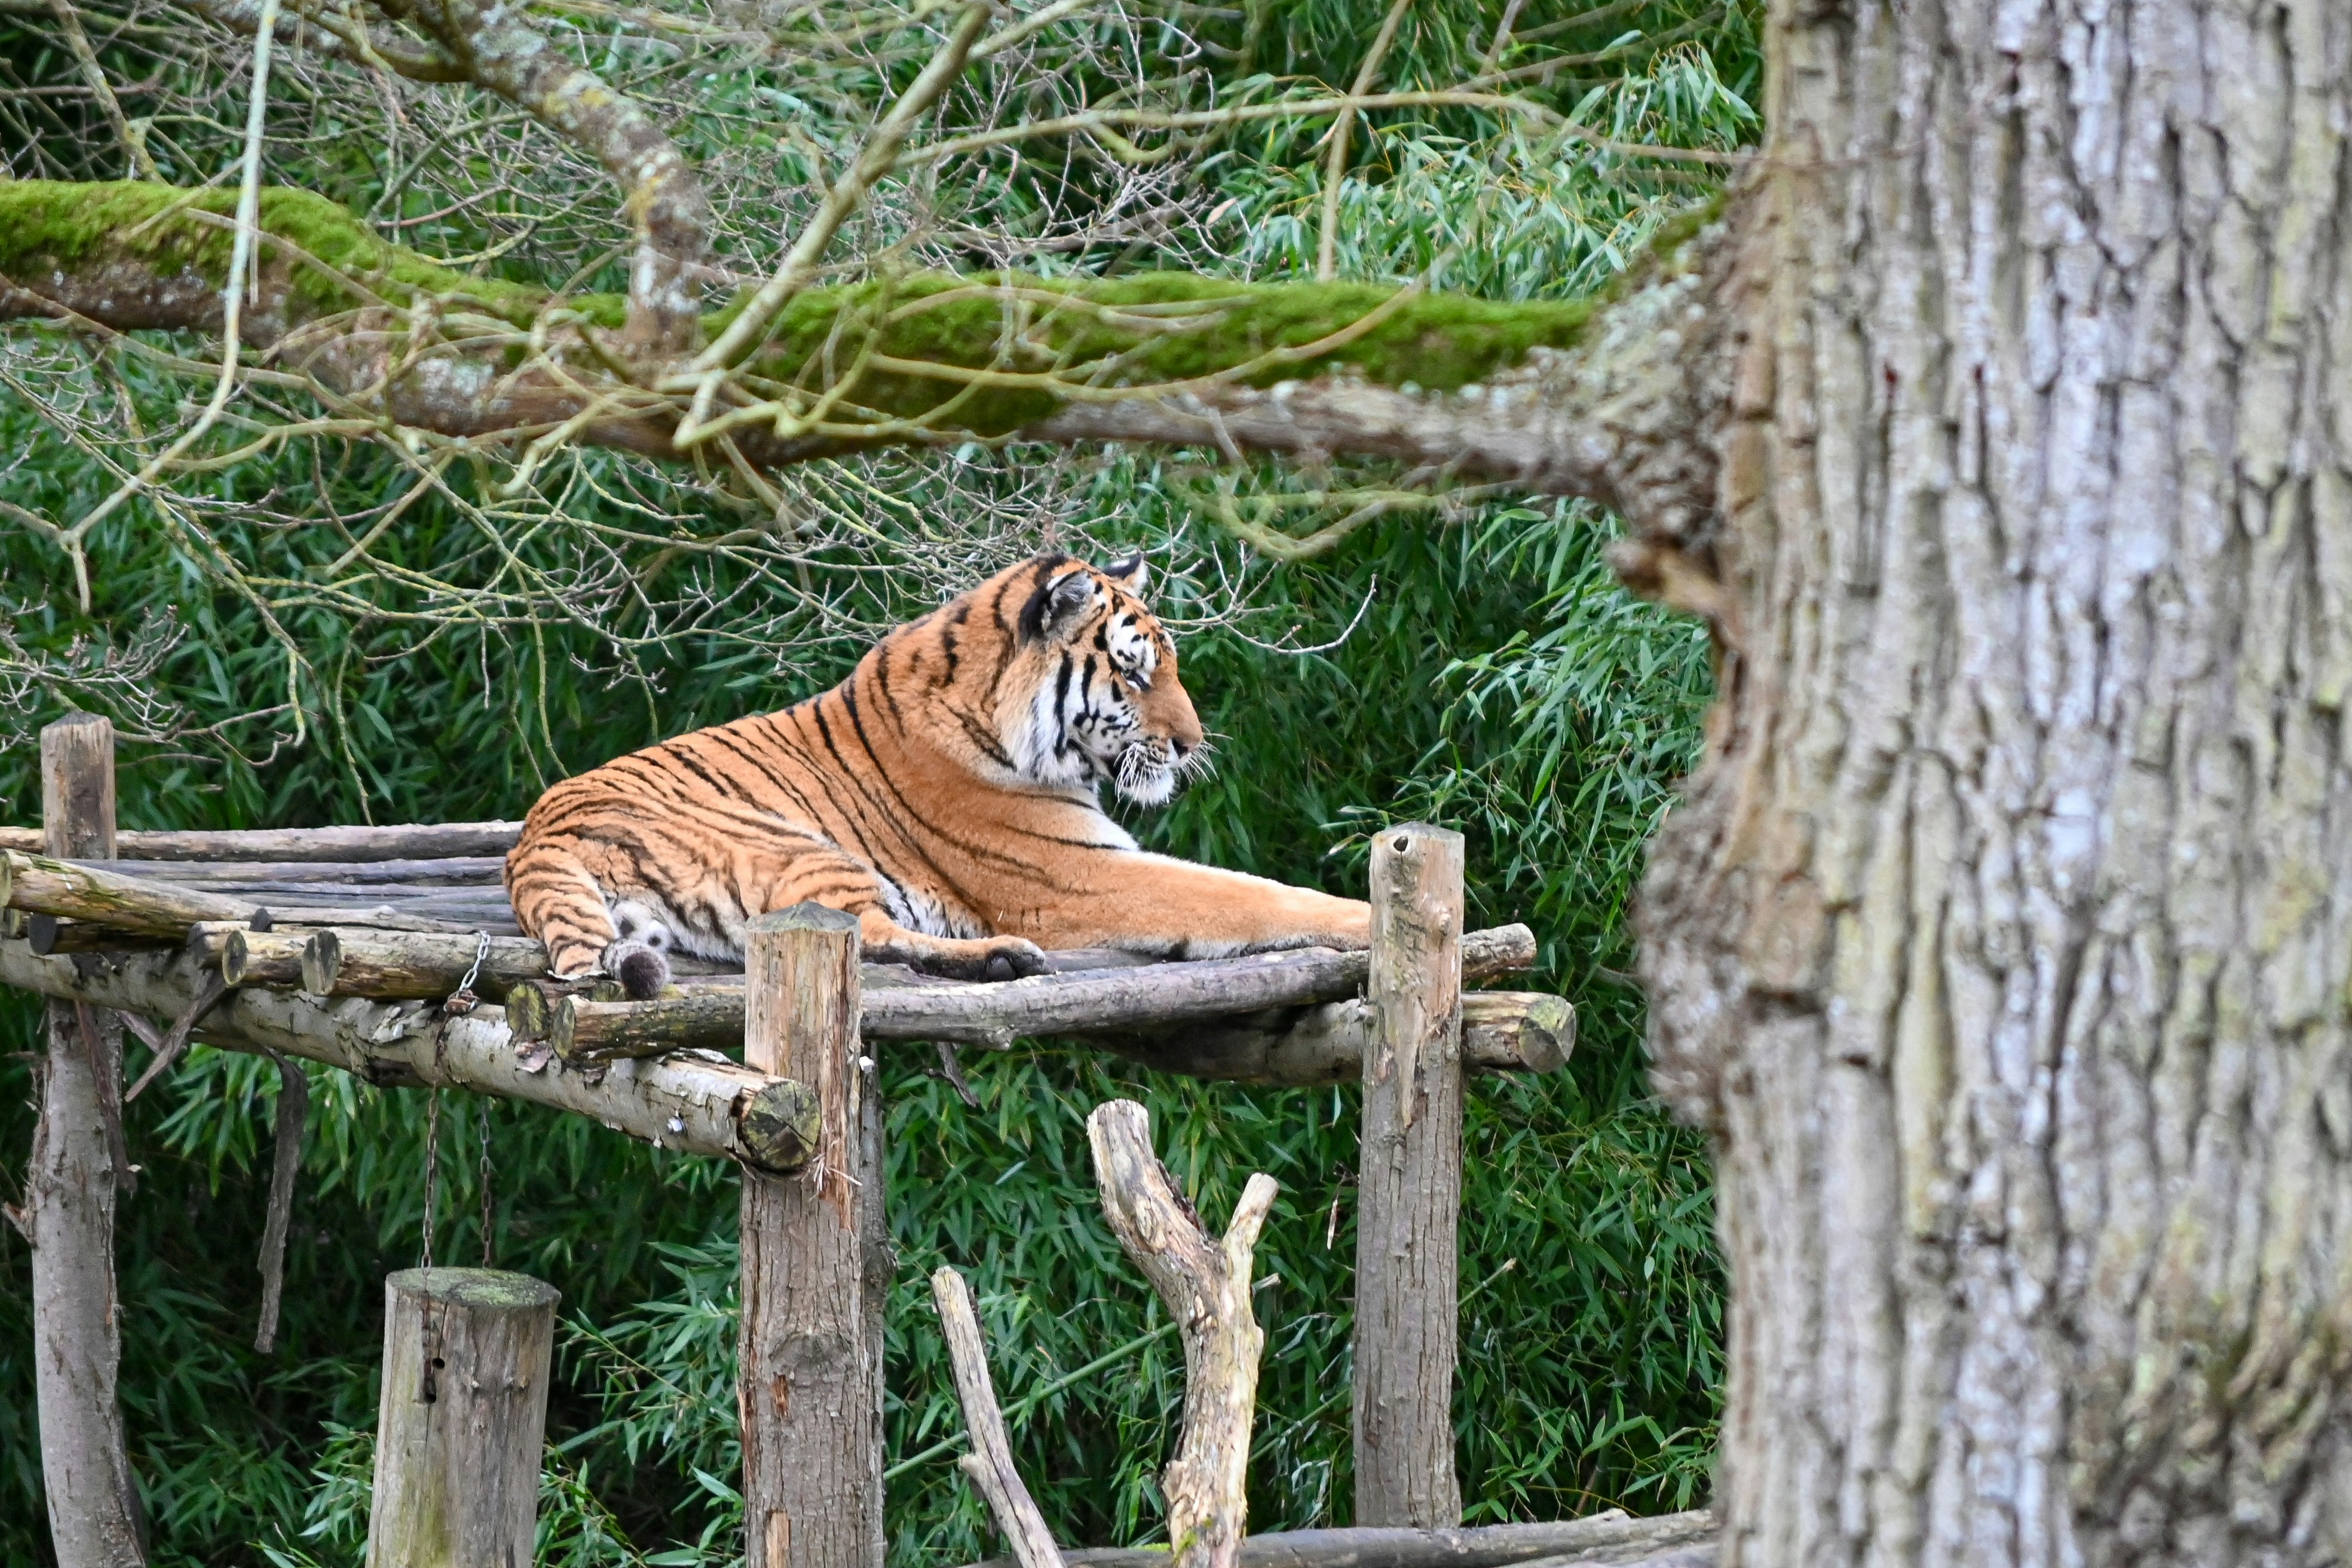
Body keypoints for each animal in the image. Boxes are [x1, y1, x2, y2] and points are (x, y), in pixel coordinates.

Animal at [504, 552, 1373, 998]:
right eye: (1133, 673)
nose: (1193, 746)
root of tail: (534, 840)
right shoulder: (1079, 876)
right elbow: (1249, 894)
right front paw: (1366, 917)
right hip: (804, 849)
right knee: (864, 937)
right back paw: (1004, 958)